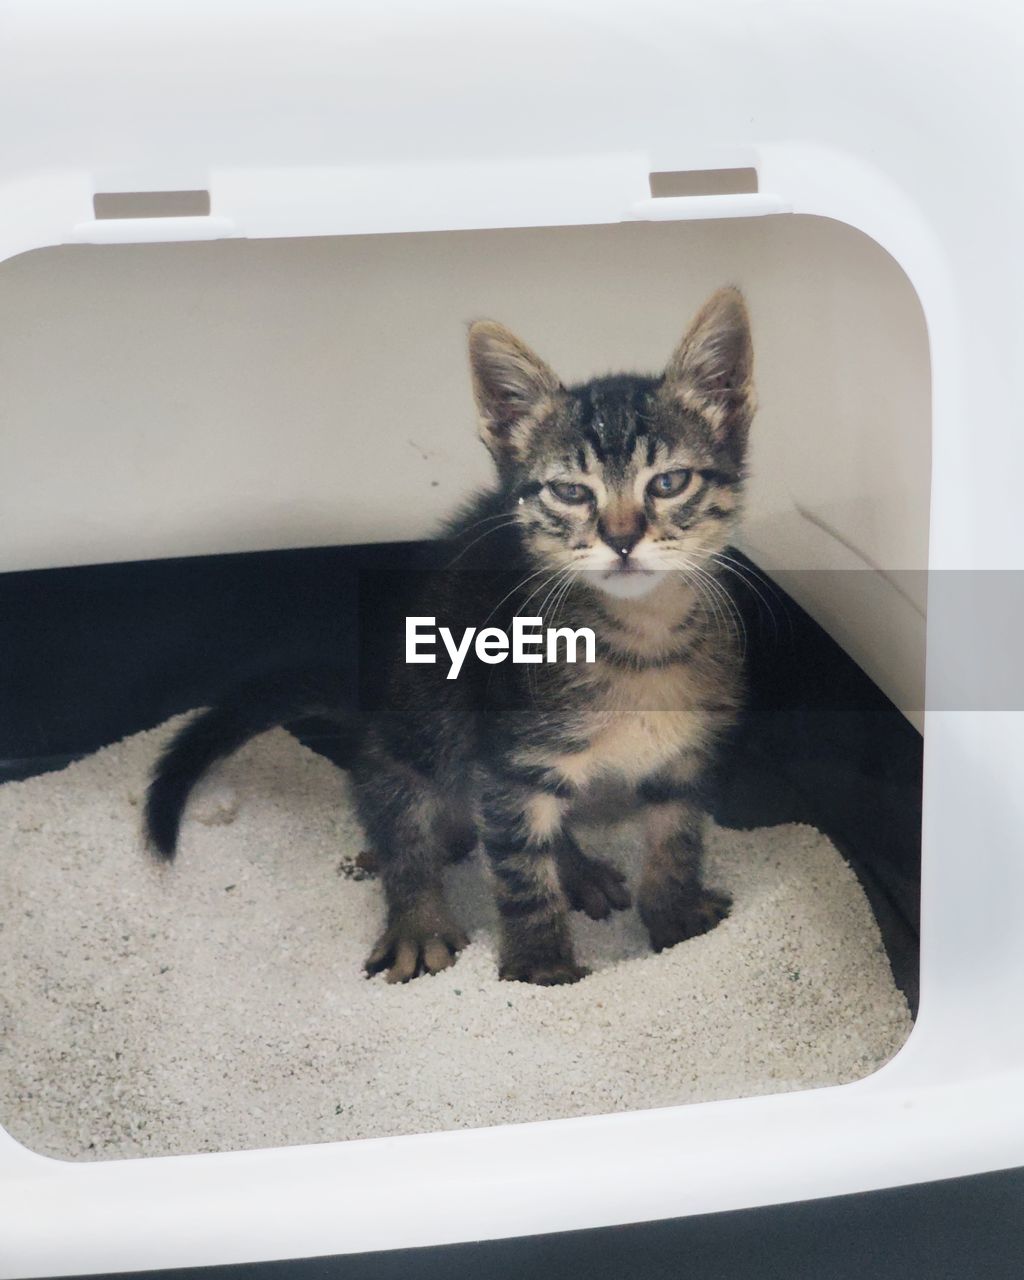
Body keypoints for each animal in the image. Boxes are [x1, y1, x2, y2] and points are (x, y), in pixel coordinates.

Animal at [145, 290, 752, 983]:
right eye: (571, 492)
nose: (622, 540)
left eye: (669, 483)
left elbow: (676, 836)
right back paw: (418, 915)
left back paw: (574, 867)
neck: (640, 641)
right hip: (427, 714)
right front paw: (542, 968)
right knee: (392, 794)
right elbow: (520, 873)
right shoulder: (512, 754)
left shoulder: (684, 755)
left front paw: (676, 918)